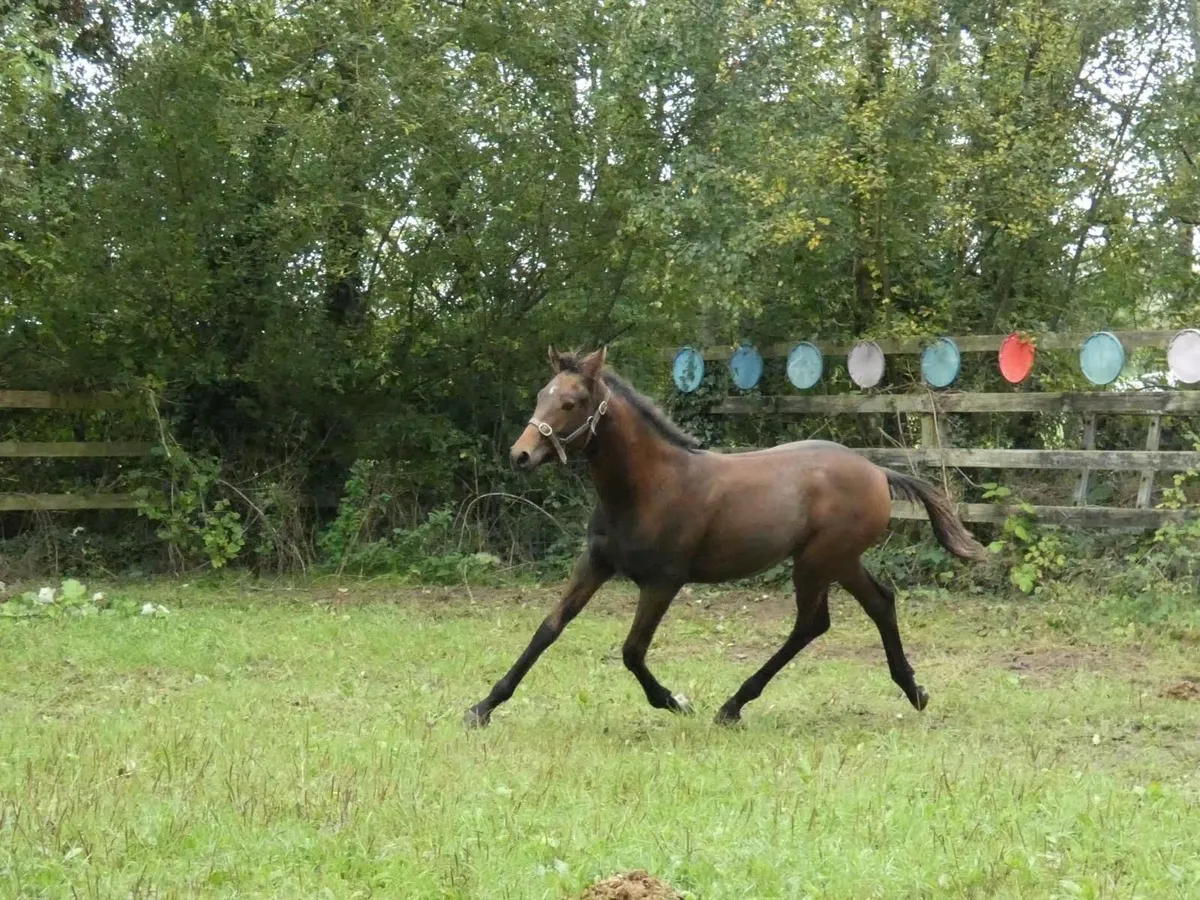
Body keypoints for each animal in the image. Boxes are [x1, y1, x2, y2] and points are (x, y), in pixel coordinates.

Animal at [464, 346, 986, 728]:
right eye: (541, 394)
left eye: (570, 403)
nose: (521, 455)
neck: (648, 486)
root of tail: (877, 471)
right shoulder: (596, 563)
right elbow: (549, 628)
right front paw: (482, 707)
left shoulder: (664, 581)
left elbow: (632, 651)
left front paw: (674, 701)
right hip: (839, 560)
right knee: (878, 603)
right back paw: (914, 690)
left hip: (818, 562)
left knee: (811, 624)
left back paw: (732, 706)